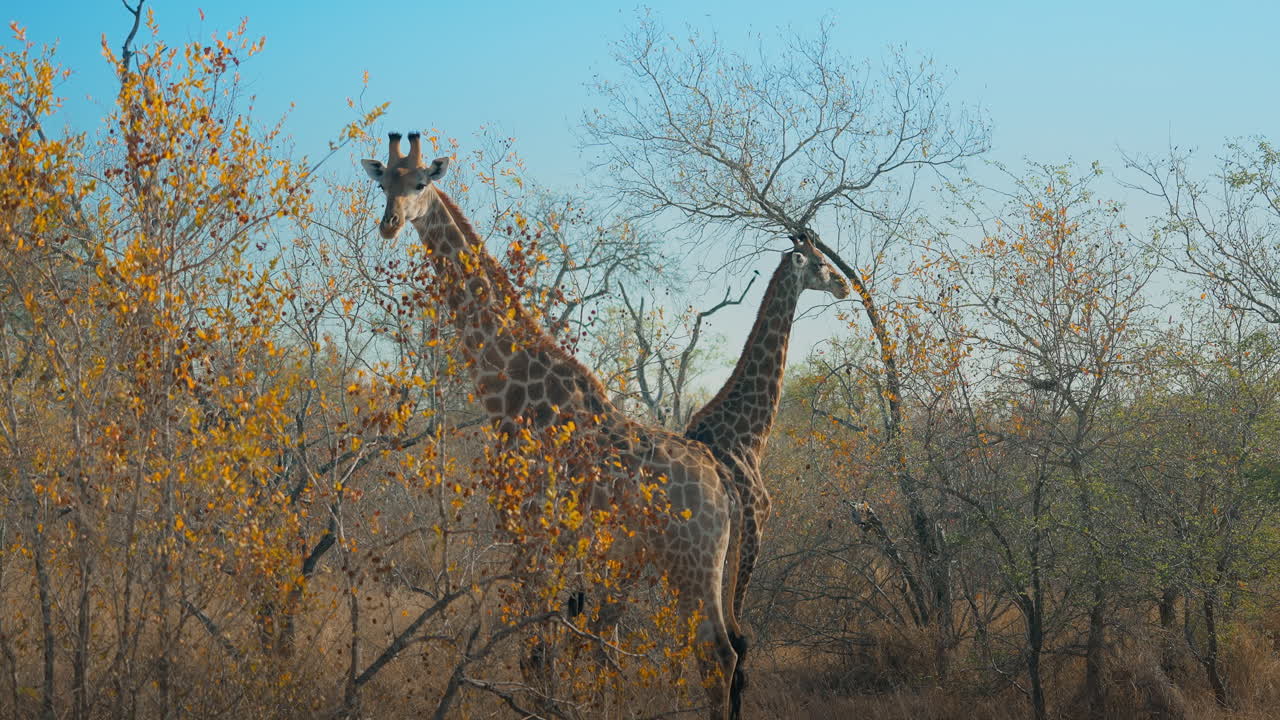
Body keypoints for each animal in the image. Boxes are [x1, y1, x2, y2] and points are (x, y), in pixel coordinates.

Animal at [362, 132, 742, 719]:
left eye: (422, 183)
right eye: (384, 183)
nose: (389, 223)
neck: (510, 385)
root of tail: (722, 485)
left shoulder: (530, 529)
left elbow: (538, 653)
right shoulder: (543, 540)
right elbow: (542, 650)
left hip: (692, 563)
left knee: (717, 656)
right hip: (686, 563)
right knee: (717, 654)